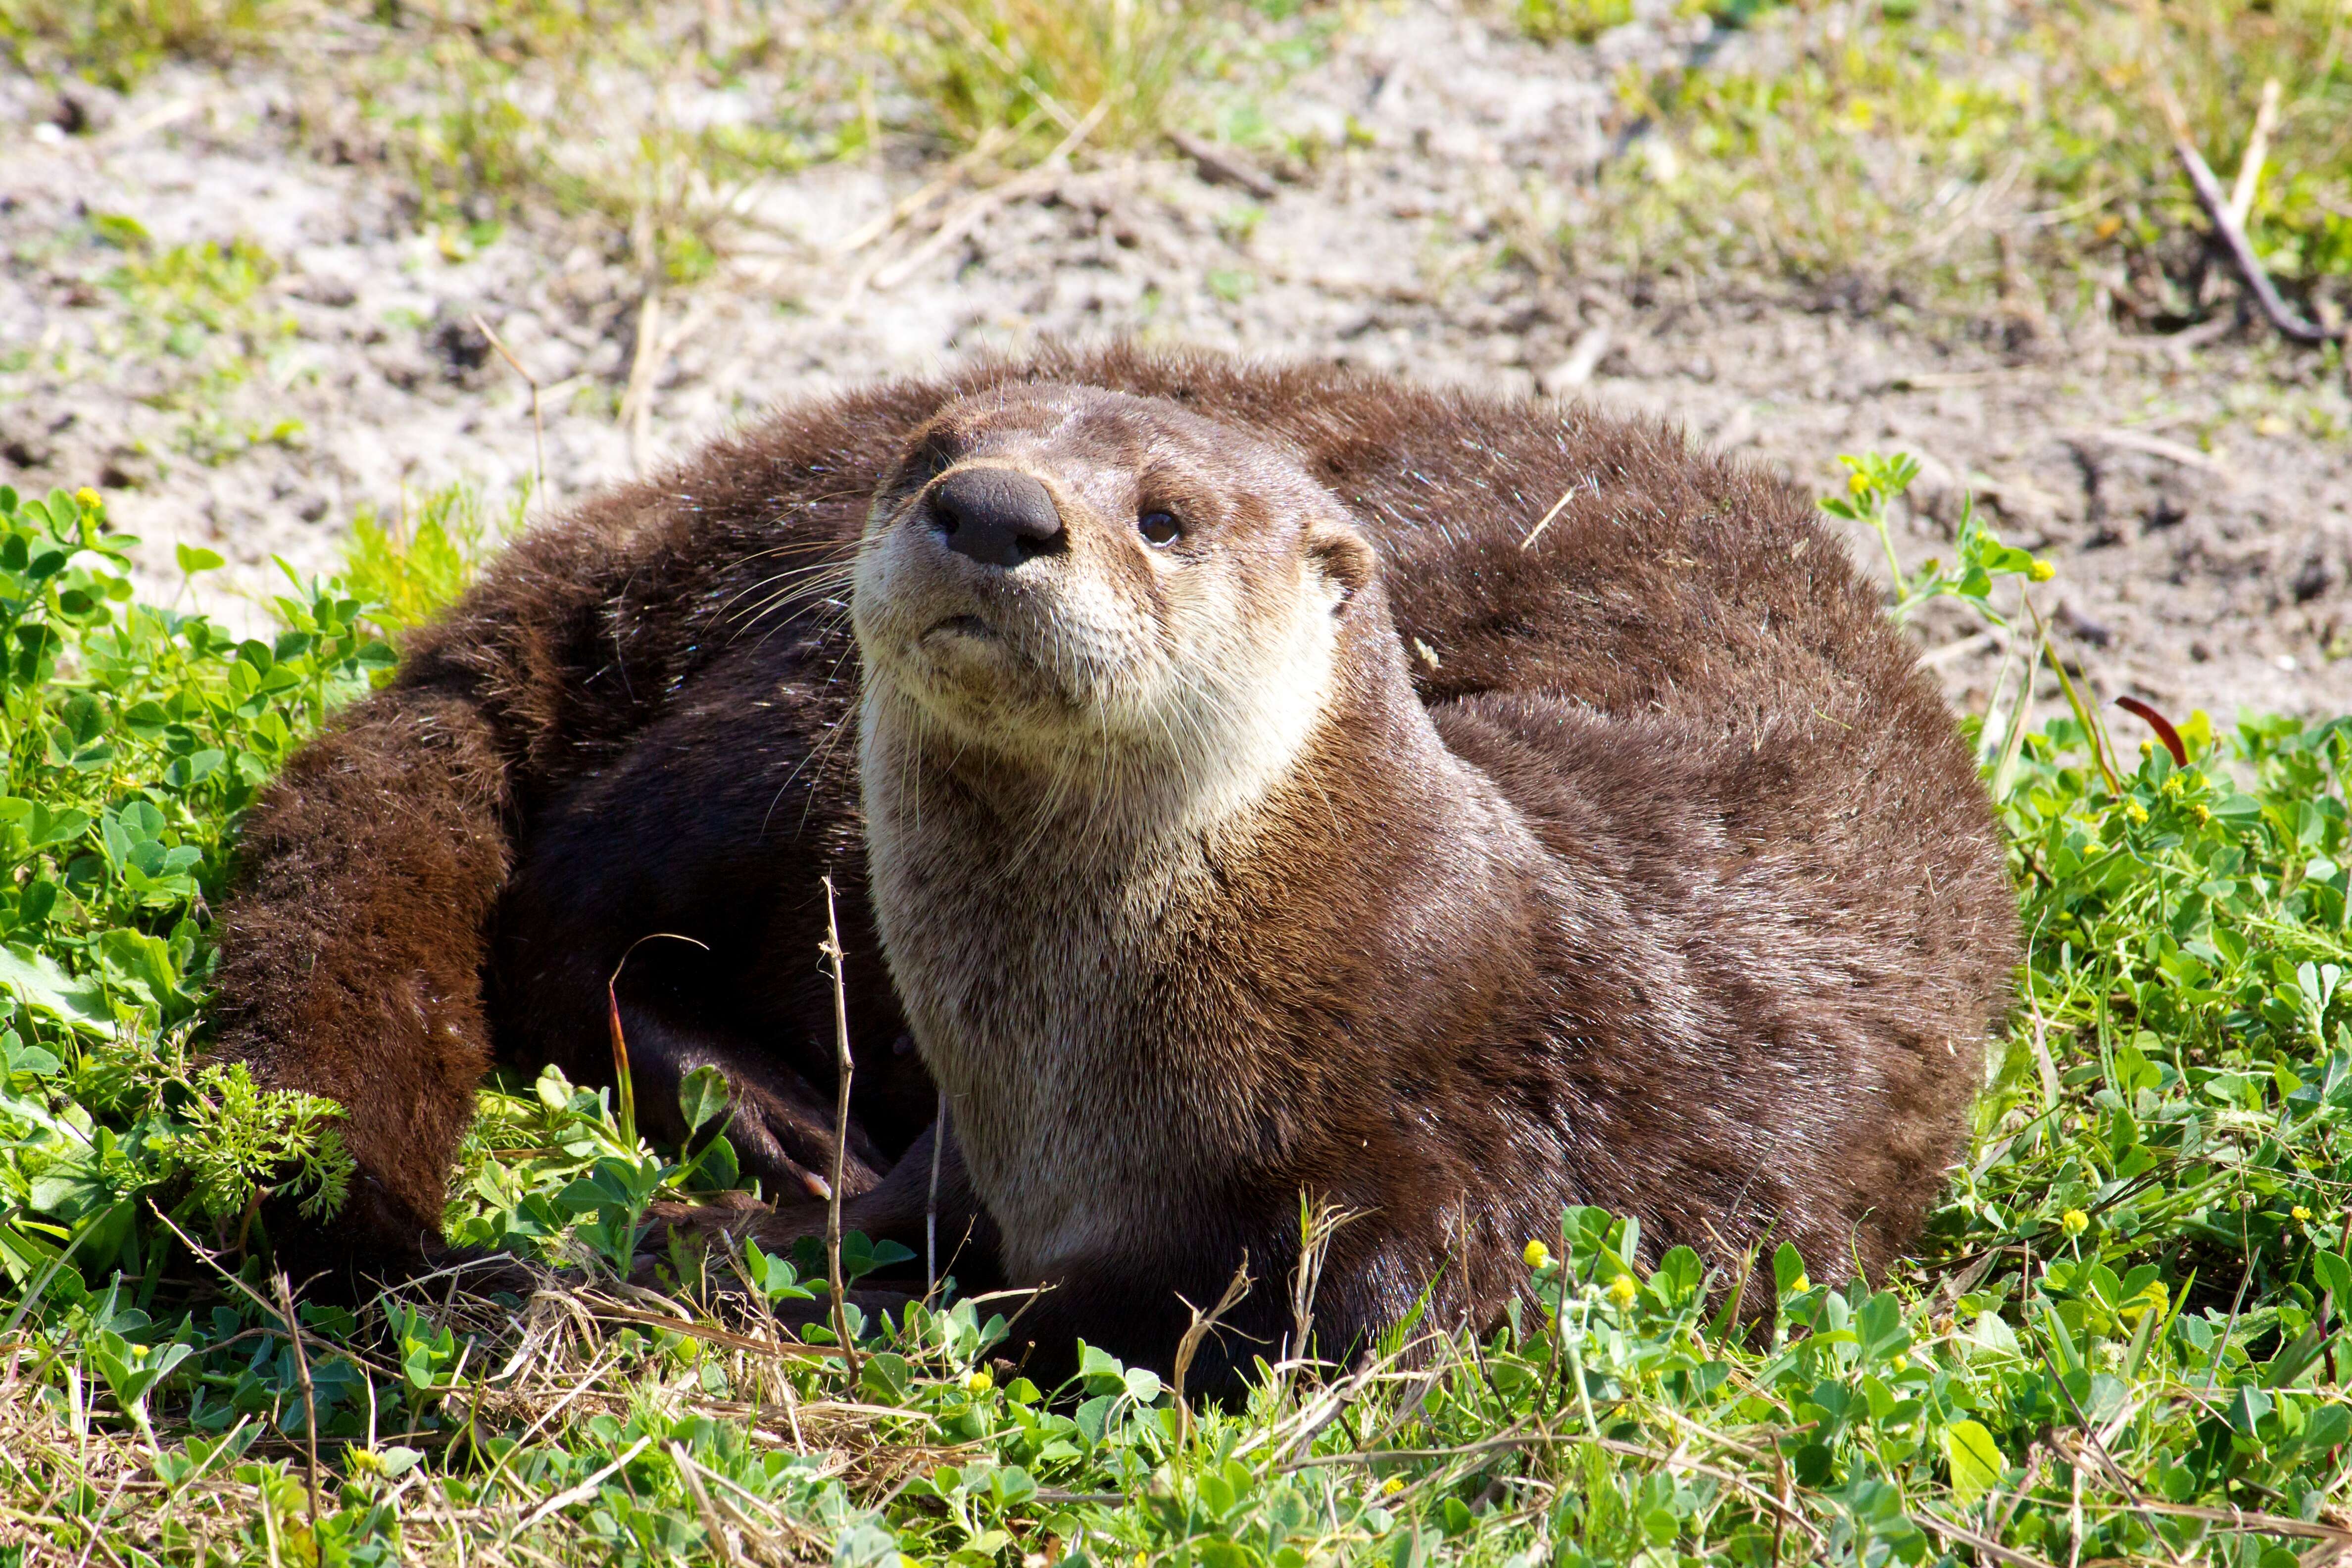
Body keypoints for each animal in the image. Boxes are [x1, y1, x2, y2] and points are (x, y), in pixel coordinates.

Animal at [221, 341, 2013, 1382]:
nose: (993, 507)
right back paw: (766, 1115)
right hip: (785, 718)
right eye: (940, 451)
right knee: (566, 911)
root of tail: (689, 510)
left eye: (1164, 515)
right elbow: (895, 1226)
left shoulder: (1434, 1202)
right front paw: (725, 1240)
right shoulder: (982, 1149)